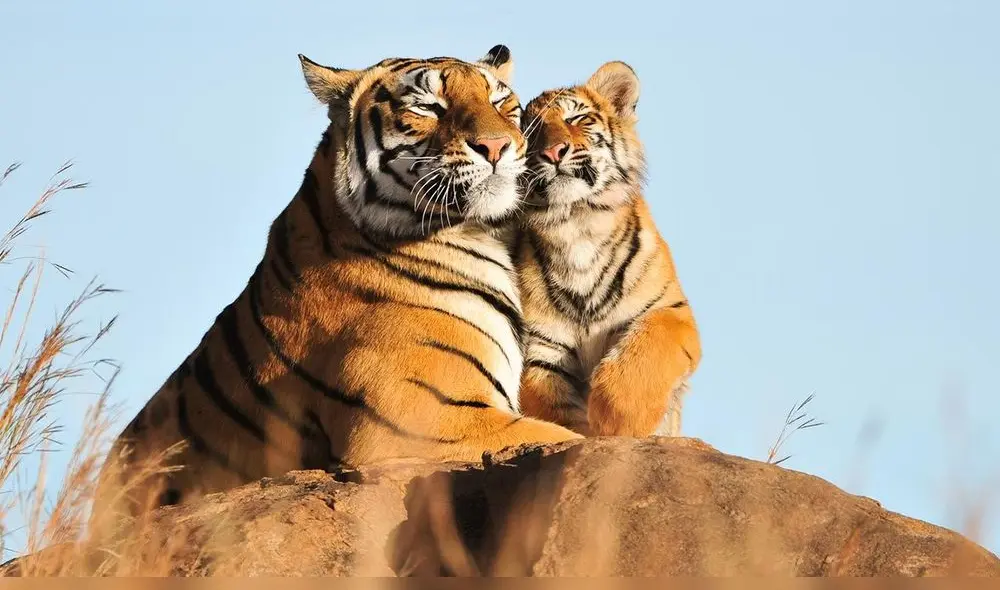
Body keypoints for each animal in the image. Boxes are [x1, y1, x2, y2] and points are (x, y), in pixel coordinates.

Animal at [512, 61, 702, 438]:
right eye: (530, 132)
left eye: (577, 118)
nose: (553, 153)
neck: (577, 225)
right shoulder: (541, 346)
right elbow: (550, 404)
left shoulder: (670, 311)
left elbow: (645, 353)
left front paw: (617, 423)